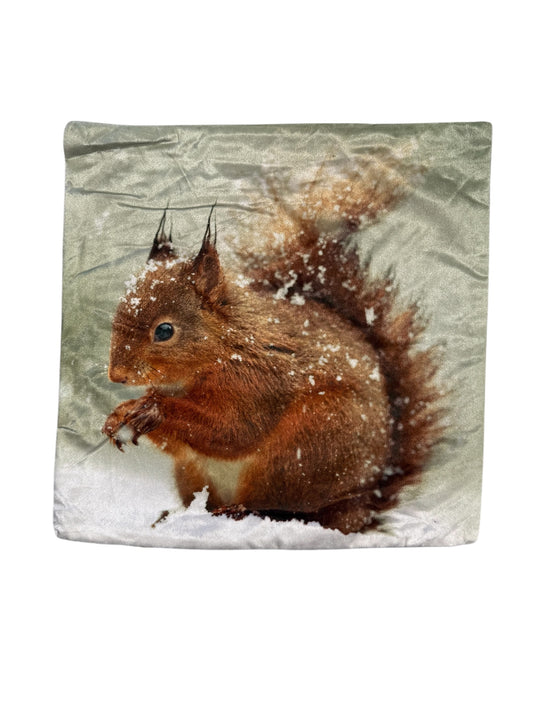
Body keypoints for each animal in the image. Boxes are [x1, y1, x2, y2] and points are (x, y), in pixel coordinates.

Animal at [102, 165, 443, 534]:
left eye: (164, 331)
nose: (116, 375)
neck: (225, 346)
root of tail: (361, 506)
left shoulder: (260, 381)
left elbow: (232, 430)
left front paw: (153, 409)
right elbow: (181, 444)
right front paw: (120, 415)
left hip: (303, 450)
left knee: (287, 509)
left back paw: (242, 512)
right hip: (194, 474)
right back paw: (175, 515)